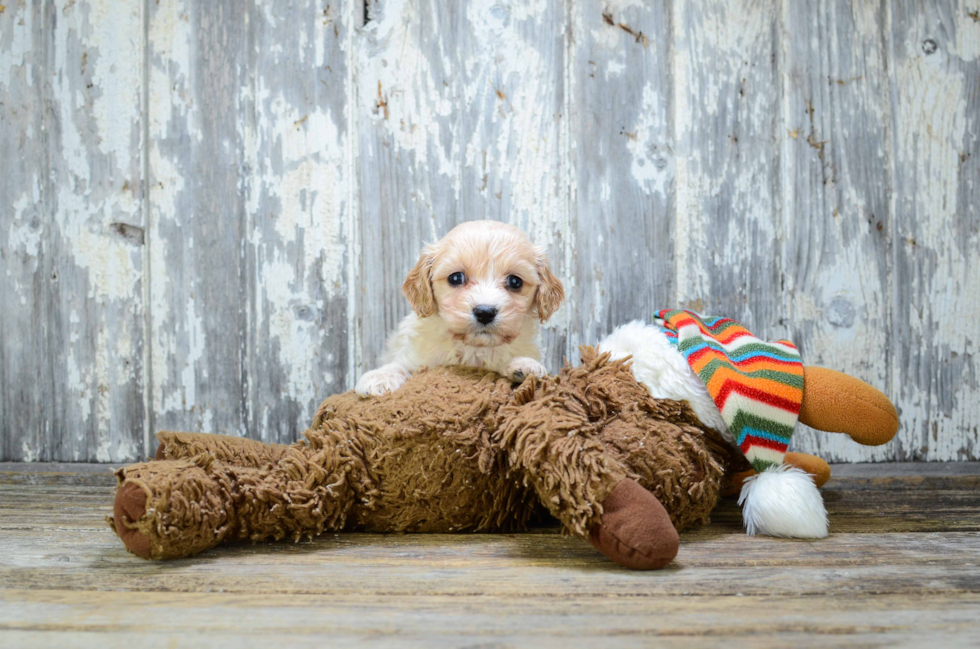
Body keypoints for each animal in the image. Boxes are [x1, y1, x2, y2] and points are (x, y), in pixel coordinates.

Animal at [356, 220, 564, 398]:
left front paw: (526, 366)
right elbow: (399, 365)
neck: (473, 348)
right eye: (456, 278)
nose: (485, 312)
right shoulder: (413, 357)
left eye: (515, 281)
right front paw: (379, 377)